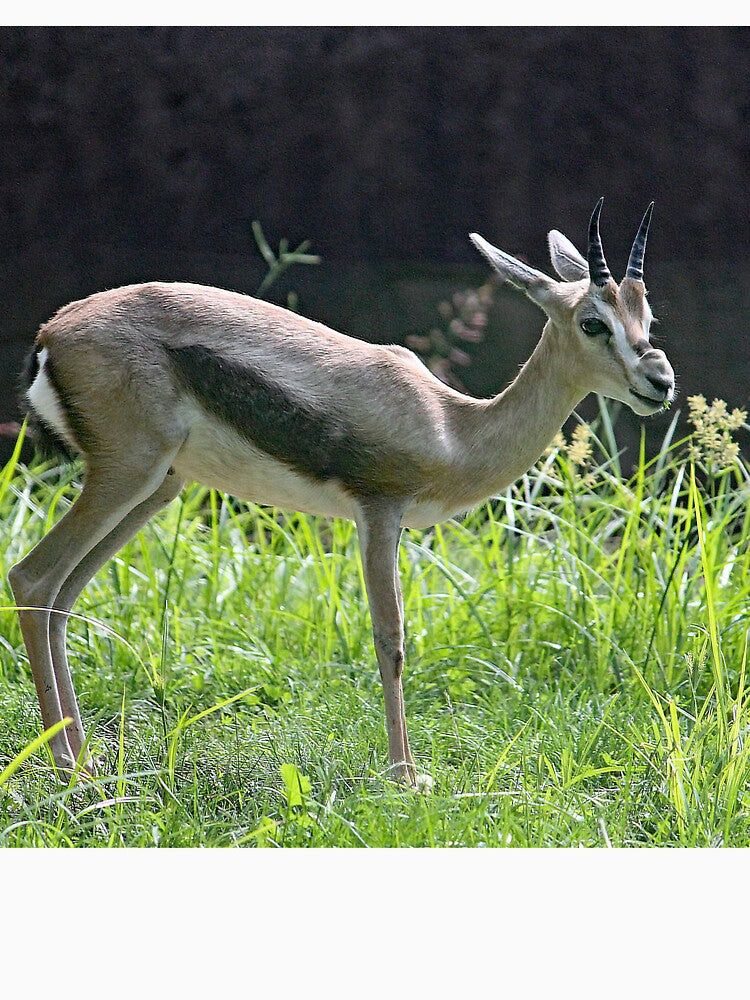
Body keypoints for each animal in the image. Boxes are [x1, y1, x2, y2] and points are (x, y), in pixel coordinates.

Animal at [9, 199, 674, 788]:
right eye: (593, 322)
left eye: (647, 319)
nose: (660, 381)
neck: (453, 428)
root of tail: (52, 332)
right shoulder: (380, 512)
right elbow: (391, 639)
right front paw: (406, 776)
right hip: (129, 473)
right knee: (32, 578)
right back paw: (66, 765)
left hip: (159, 488)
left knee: (62, 597)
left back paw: (84, 756)